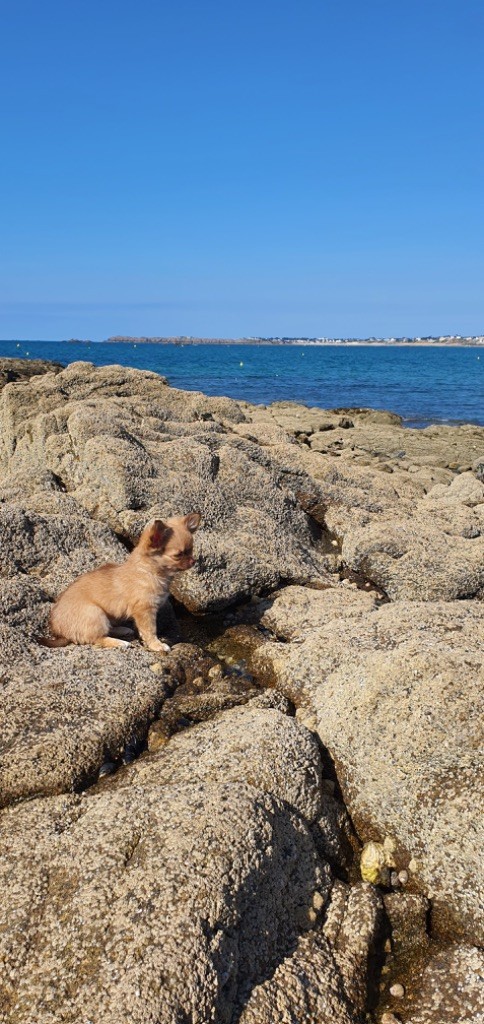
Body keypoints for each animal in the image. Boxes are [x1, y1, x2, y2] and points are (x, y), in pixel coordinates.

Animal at [44, 512, 199, 655]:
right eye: (178, 555)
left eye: (191, 550)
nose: (193, 561)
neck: (149, 571)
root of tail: (60, 632)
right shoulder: (145, 611)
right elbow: (150, 631)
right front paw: (157, 645)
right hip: (95, 614)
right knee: (97, 638)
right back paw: (119, 642)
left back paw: (121, 630)